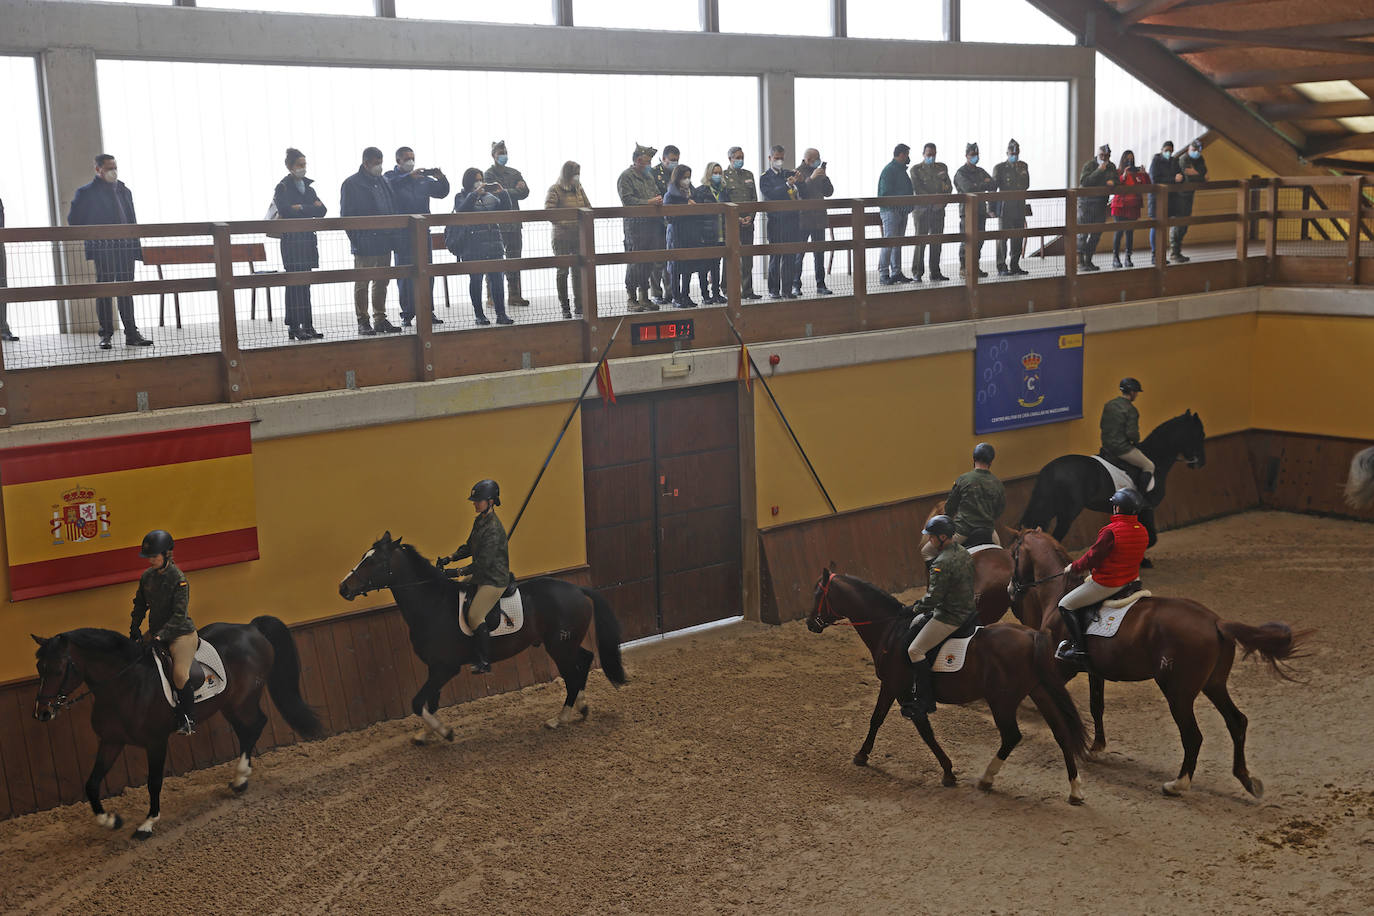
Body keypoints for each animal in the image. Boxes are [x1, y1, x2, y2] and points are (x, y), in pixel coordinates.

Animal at [32, 615, 324, 840]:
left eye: (59, 669)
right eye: (39, 668)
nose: (42, 713)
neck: (124, 685)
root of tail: (251, 628)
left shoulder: (156, 742)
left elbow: (153, 782)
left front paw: (147, 824)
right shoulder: (112, 741)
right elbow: (92, 784)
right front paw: (111, 820)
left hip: (243, 699)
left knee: (256, 725)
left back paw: (241, 777)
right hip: (229, 704)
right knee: (247, 730)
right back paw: (240, 779)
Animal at [338, 532, 629, 741]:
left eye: (373, 561)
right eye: (364, 556)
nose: (343, 588)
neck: (432, 604)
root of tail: (578, 590)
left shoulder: (445, 668)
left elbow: (418, 702)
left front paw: (444, 732)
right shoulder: (435, 668)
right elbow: (430, 702)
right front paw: (427, 733)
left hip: (559, 647)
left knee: (572, 675)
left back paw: (560, 718)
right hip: (565, 644)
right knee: (584, 661)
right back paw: (582, 706)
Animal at [802, 568, 1082, 807]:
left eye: (817, 593)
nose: (810, 623)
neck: (890, 629)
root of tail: (1031, 635)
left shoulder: (898, 689)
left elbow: (915, 729)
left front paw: (947, 771)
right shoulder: (896, 689)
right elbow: (888, 721)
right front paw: (864, 755)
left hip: (1002, 701)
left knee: (1012, 736)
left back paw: (986, 779)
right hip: (1038, 691)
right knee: (1061, 732)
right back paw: (1075, 790)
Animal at [1011, 527, 1308, 796]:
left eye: (1014, 554)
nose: (1012, 589)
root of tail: (1216, 621)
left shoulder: (1061, 667)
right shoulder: (1094, 671)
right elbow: (1097, 706)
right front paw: (1095, 747)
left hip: (1178, 692)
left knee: (1193, 735)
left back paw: (1178, 784)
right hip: (1214, 685)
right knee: (1237, 722)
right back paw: (1246, 779)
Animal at [1016, 409, 1209, 560]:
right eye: (1199, 435)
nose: (1200, 463)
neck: (1155, 457)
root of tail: (1050, 469)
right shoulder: (1147, 508)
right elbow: (1151, 538)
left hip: (1048, 509)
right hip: (1066, 514)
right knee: (1055, 536)